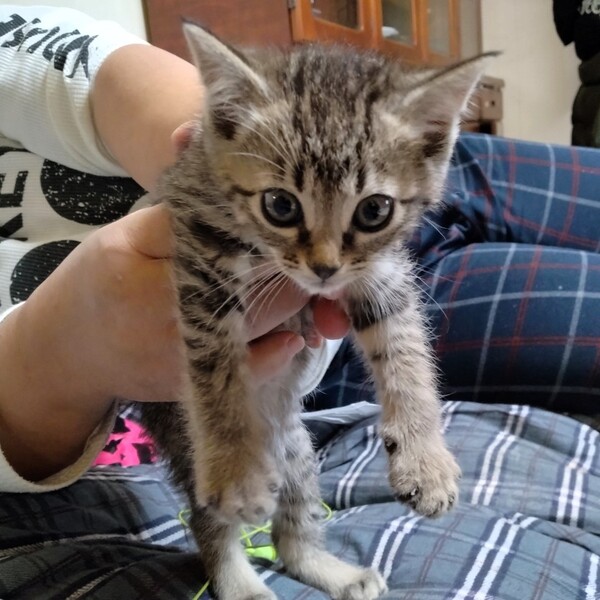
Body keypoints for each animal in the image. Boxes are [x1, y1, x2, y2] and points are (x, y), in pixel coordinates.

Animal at [141, 20, 493, 600]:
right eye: (280, 205)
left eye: (375, 211)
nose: (324, 269)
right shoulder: (198, 251)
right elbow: (215, 368)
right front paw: (235, 466)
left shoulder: (378, 273)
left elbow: (405, 351)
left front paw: (425, 458)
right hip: (187, 443)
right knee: (206, 520)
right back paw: (239, 581)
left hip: (296, 451)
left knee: (291, 534)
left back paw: (332, 570)